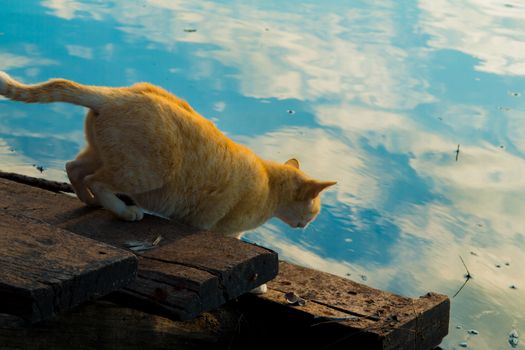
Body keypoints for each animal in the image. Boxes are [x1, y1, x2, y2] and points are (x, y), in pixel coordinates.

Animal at [0, 71, 336, 235]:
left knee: (74, 168)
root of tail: (112, 95)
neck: (269, 184)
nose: (308, 225)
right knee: (99, 181)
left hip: (101, 153)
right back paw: (125, 211)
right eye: (314, 211)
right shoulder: (218, 228)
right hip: (145, 172)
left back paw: (91, 202)